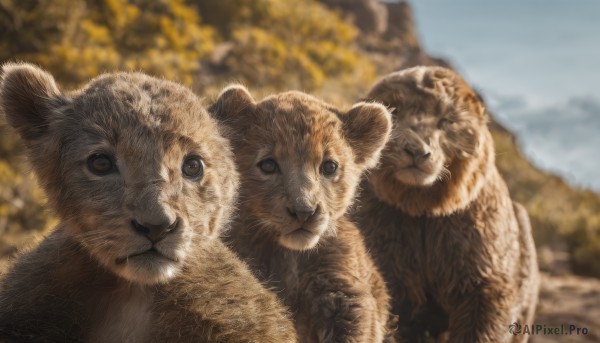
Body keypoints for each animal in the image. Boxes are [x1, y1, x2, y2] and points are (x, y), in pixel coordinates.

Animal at [352, 66, 540, 342]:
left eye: (447, 120)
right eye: (395, 110)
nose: (416, 151)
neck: (422, 211)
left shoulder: (480, 273)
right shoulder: (391, 261)